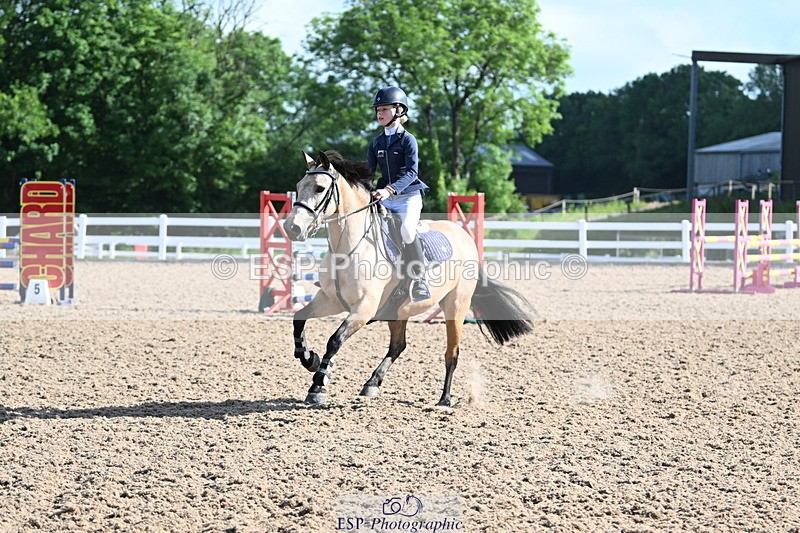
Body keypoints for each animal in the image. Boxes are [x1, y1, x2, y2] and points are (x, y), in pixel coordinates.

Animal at [283, 150, 535, 406]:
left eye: (320, 188)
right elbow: (299, 318)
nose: (292, 228)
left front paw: (318, 385)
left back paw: (444, 399)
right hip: (398, 311)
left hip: (456, 305)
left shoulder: (364, 308)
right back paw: (372, 384)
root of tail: (464, 237)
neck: (349, 248)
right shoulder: (329, 300)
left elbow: (335, 339)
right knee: (398, 346)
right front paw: (309, 358)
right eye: (299, 186)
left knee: (451, 352)